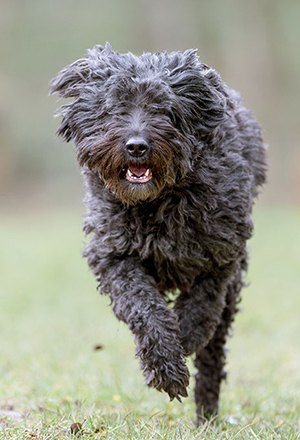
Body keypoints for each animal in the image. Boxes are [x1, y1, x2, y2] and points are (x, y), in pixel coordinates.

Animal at [49, 43, 268, 424]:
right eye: (115, 107)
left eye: (163, 108)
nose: (136, 146)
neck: (156, 202)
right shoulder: (114, 255)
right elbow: (144, 307)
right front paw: (166, 365)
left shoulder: (221, 254)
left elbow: (202, 306)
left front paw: (186, 337)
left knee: (214, 351)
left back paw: (206, 416)